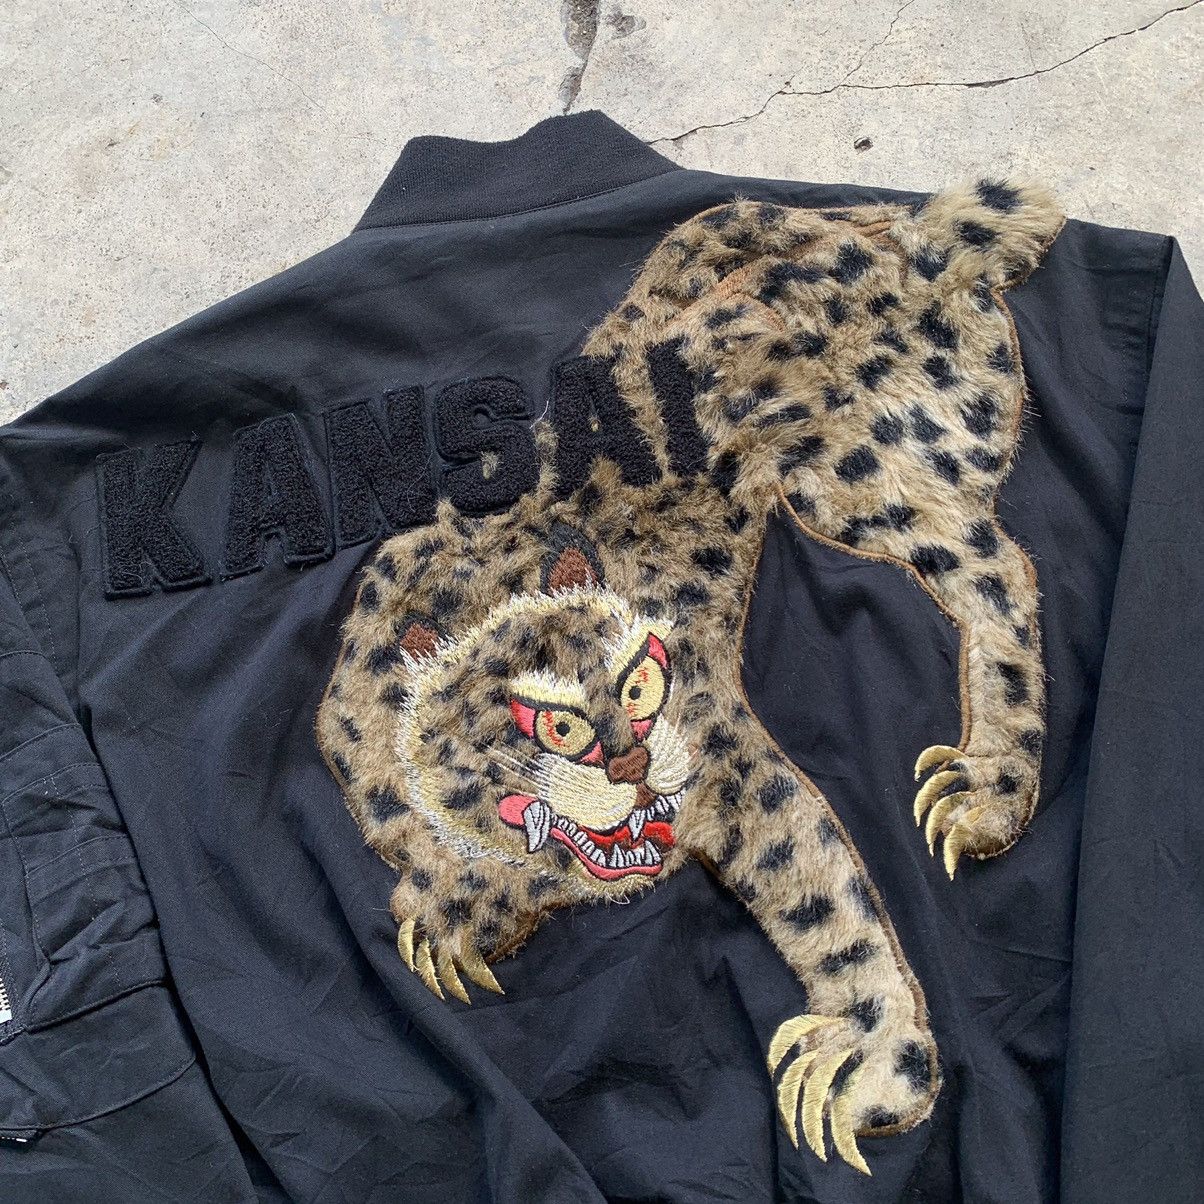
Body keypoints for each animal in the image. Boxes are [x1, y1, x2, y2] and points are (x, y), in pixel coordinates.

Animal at [317, 178, 1064, 1175]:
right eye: (549, 722)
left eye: (642, 680)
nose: (635, 766)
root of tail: (915, 241)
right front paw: (452, 909)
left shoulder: (731, 761)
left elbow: (820, 888)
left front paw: (867, 1061)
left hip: (862, 468)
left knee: (999, 569)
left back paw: (984, 788)